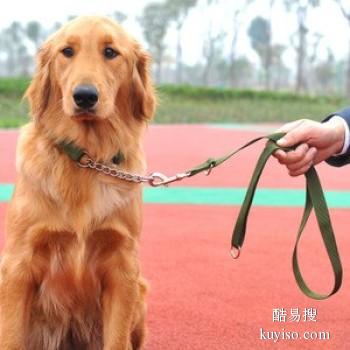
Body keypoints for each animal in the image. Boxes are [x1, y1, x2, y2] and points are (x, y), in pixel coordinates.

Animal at [0, 15, 154, 350]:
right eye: (67, 51)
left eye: (110, 52)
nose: (84, 96)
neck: (86, 157)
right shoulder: (18, 265)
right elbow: (12, 337)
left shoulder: (123, 267)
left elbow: (117, 340)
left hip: (141, 290)